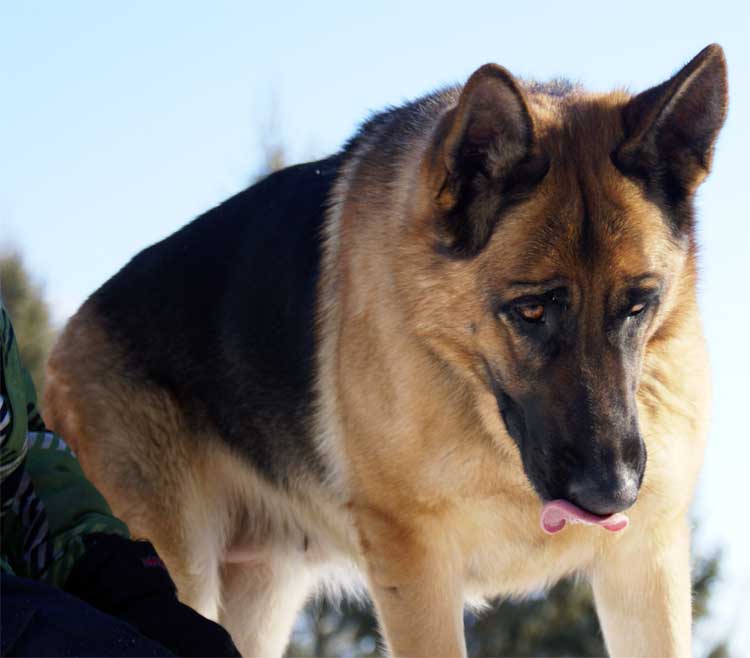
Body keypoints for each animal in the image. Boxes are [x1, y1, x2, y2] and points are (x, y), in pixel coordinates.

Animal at [45, 43, 728, 652]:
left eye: (639, 305)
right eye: (531, 311)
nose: (612, 493)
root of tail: (66, 342)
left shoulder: (644, 565)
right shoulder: (417, 571)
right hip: (176, 564)